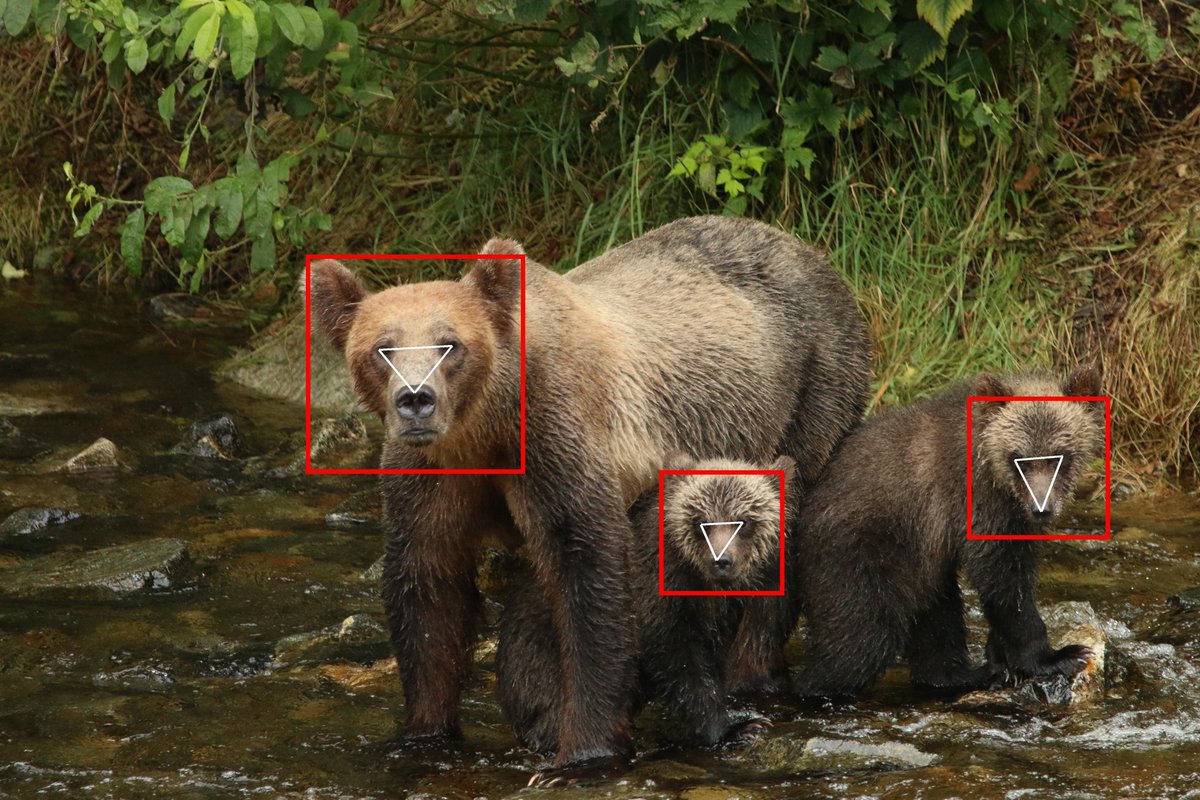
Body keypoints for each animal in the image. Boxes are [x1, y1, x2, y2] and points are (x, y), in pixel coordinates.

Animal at [496, 454, 793, 757]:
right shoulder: (657, 596)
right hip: (547, 658)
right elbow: (681, 664)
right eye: (701, 521)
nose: (721, 560)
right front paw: (735, 727)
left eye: (744, 521)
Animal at [793, 367, 1105, 700]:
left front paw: (1002, 659)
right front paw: (1059, 656)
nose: (1041, 508)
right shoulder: (979, 501)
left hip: (918, 564)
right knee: (860, 639)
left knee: (936, 620)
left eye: (1061, 455)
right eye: (1017, 457)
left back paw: (965, 675)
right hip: (856, 553)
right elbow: (1004, 582)